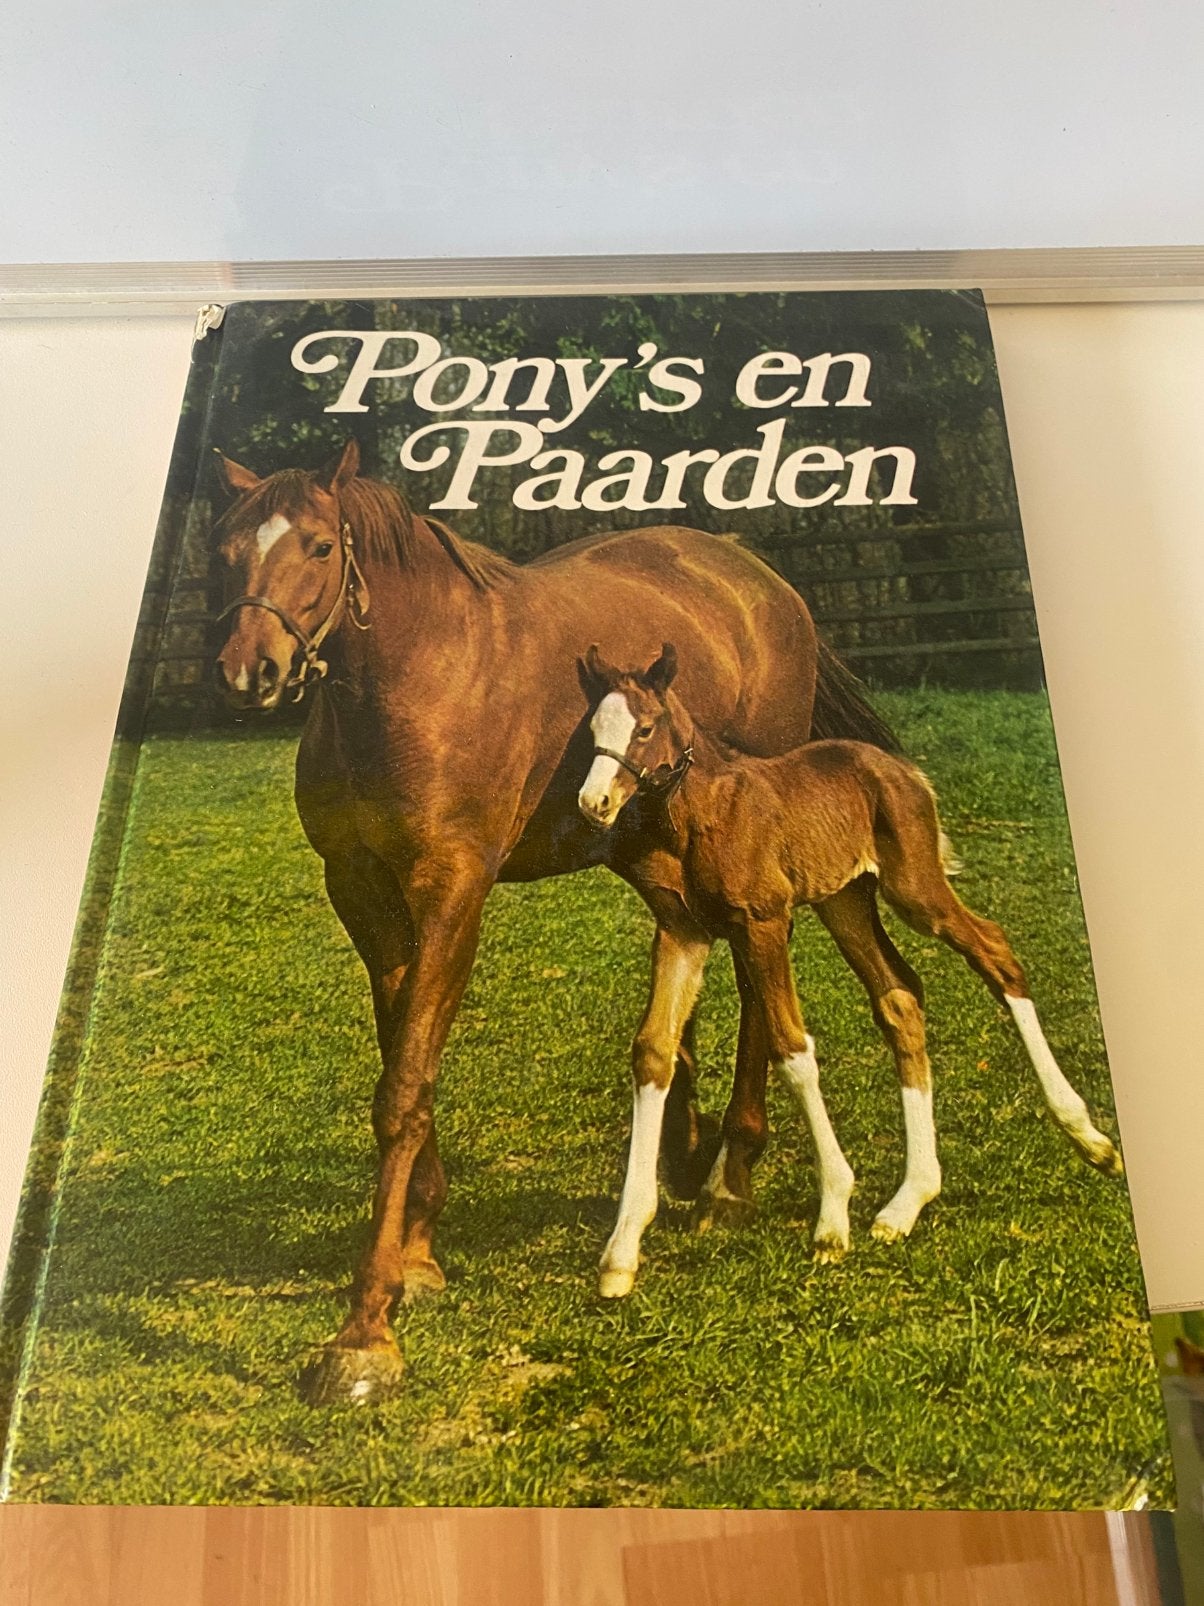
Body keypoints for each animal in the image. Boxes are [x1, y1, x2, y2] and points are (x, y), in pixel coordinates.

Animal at [211, 439, 896, 1402]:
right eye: (227, 549)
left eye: (316, 546)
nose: (250, 670)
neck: (419, 677)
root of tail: (755, 576)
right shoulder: (363, 896)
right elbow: (404, 1064)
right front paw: (417, 1253)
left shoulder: (452, 892)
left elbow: (403, 1090)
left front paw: (365, 1331)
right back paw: (691, 1149)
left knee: (761, 987)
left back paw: (730, 1177)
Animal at [576, 644, 1123, 1297]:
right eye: (591, 731)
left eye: (644, 729)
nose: (593, 804)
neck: (707, 811)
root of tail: (902, 769)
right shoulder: (685, 933)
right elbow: (654, 1052)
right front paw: (620, 1252)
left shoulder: (763, 922)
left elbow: (792, 1049)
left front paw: (832, 1218)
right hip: (846, 902)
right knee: (900, 997)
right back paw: (908, 1201)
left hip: (915, 890)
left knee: (995, 953)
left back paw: (1089, 1139)